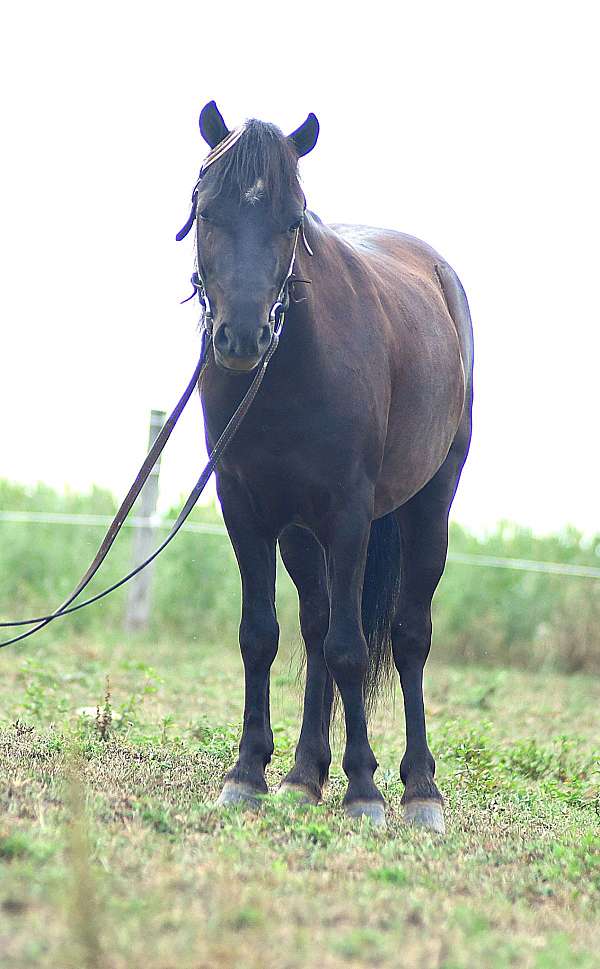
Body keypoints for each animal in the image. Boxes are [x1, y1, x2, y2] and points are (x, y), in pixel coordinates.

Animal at [178, 100, 473, 832]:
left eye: (292, 220)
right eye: (206, 212)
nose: (242, 337)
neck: (290, 370)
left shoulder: (349, 515)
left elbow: (350, 646)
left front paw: (364, 787)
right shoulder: (246, 509)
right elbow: (262, 634)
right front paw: (249, 772)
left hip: (427, 507)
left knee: (407, 635)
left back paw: (420, 790)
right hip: (299, 531)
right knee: (313, 628)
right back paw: (304, 774)